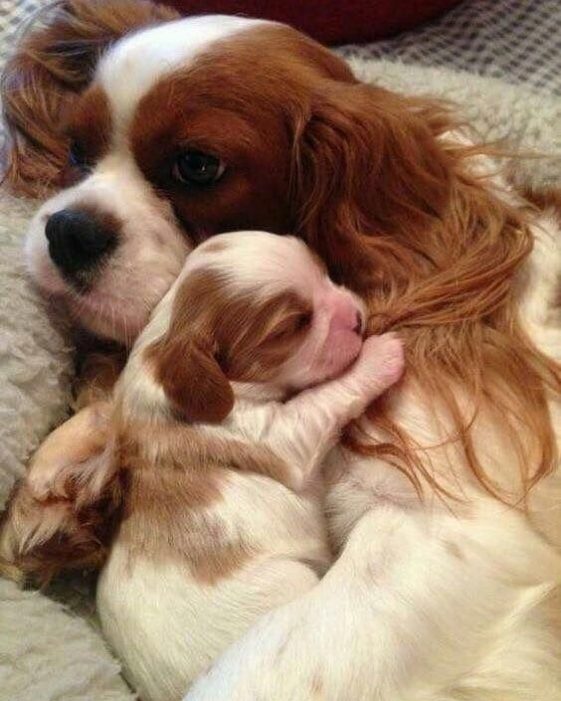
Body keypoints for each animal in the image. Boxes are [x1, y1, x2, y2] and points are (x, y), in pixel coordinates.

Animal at [97, 231, 402, 700]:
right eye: (293, 325)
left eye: (324, 272)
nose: (356, 317)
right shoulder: (281, 434)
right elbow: (328, 396)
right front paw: (382, 353)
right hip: (293, 584)